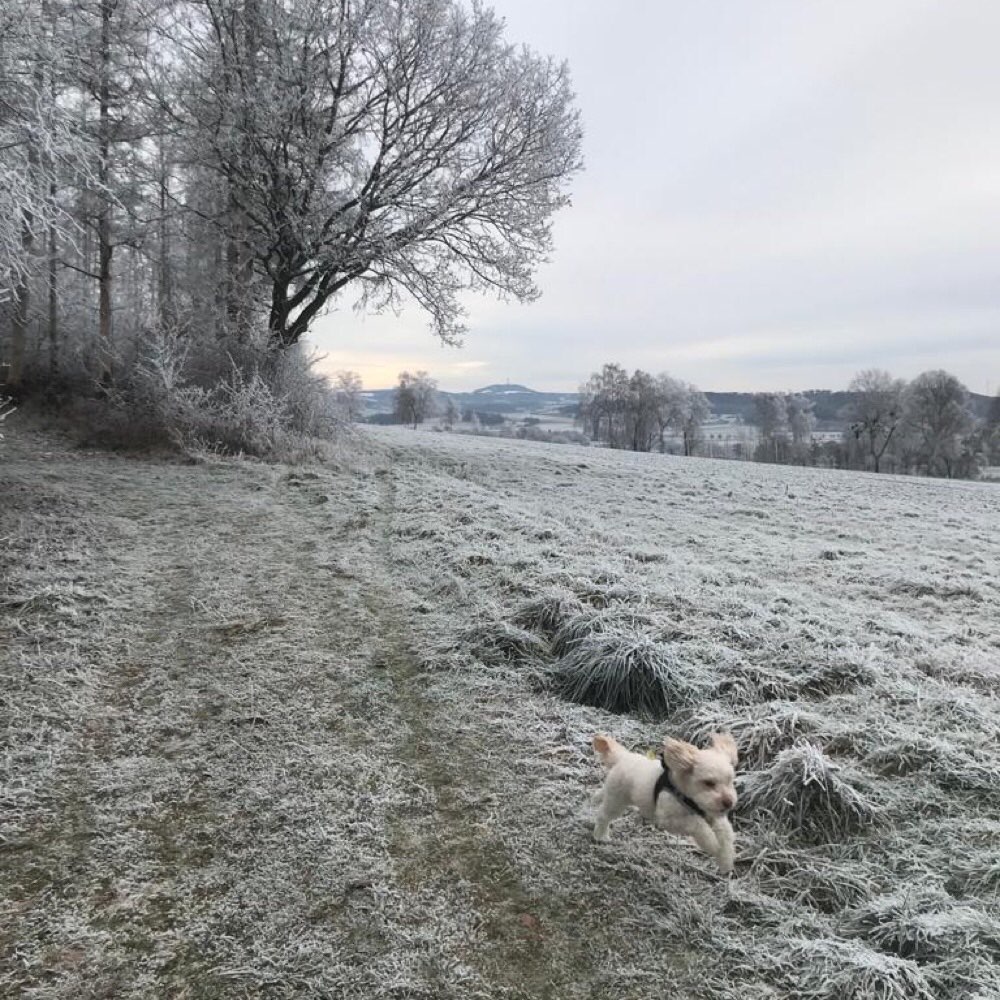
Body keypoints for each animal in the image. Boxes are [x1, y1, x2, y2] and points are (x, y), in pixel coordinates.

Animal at [588, 732, 740, 872]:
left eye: (730, 781)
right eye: (708, 783)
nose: (728, 802)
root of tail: (623, 757)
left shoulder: (711, 813)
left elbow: (726, 831)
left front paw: (725, 859)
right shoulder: (668, 819)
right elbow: (697, 823)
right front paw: (712, 843)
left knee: (601, 797)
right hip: (617, 800)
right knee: (603, 816)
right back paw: (600, 835)